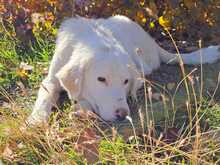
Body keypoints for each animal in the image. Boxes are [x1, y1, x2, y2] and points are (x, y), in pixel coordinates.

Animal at [27, 15, 220, 124]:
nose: (122, 114)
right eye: (101, 79)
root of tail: (153, 43)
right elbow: (44, 96)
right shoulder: (51, 79)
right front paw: (36, 120)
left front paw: (81, 107)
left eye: (126, 81)